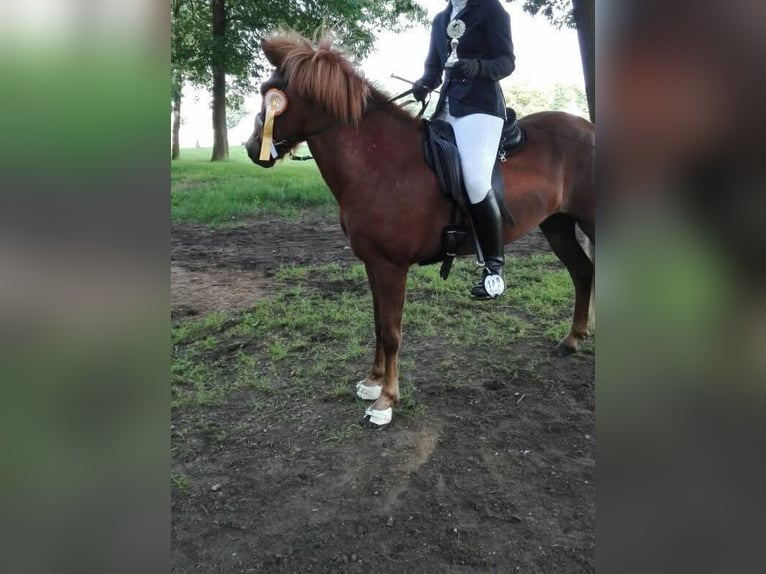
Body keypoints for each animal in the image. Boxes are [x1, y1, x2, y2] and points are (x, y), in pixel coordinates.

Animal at [245, 33, 595, 429]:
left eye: (271, 94)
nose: (252, 149)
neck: (380, 161)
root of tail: (589, 130)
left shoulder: (391, 267)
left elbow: (392, 332)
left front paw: (386, 401)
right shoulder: (373, 264)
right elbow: (378, 324)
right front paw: (373, 382)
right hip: (558, 225)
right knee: (583, 272)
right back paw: (572, 339)